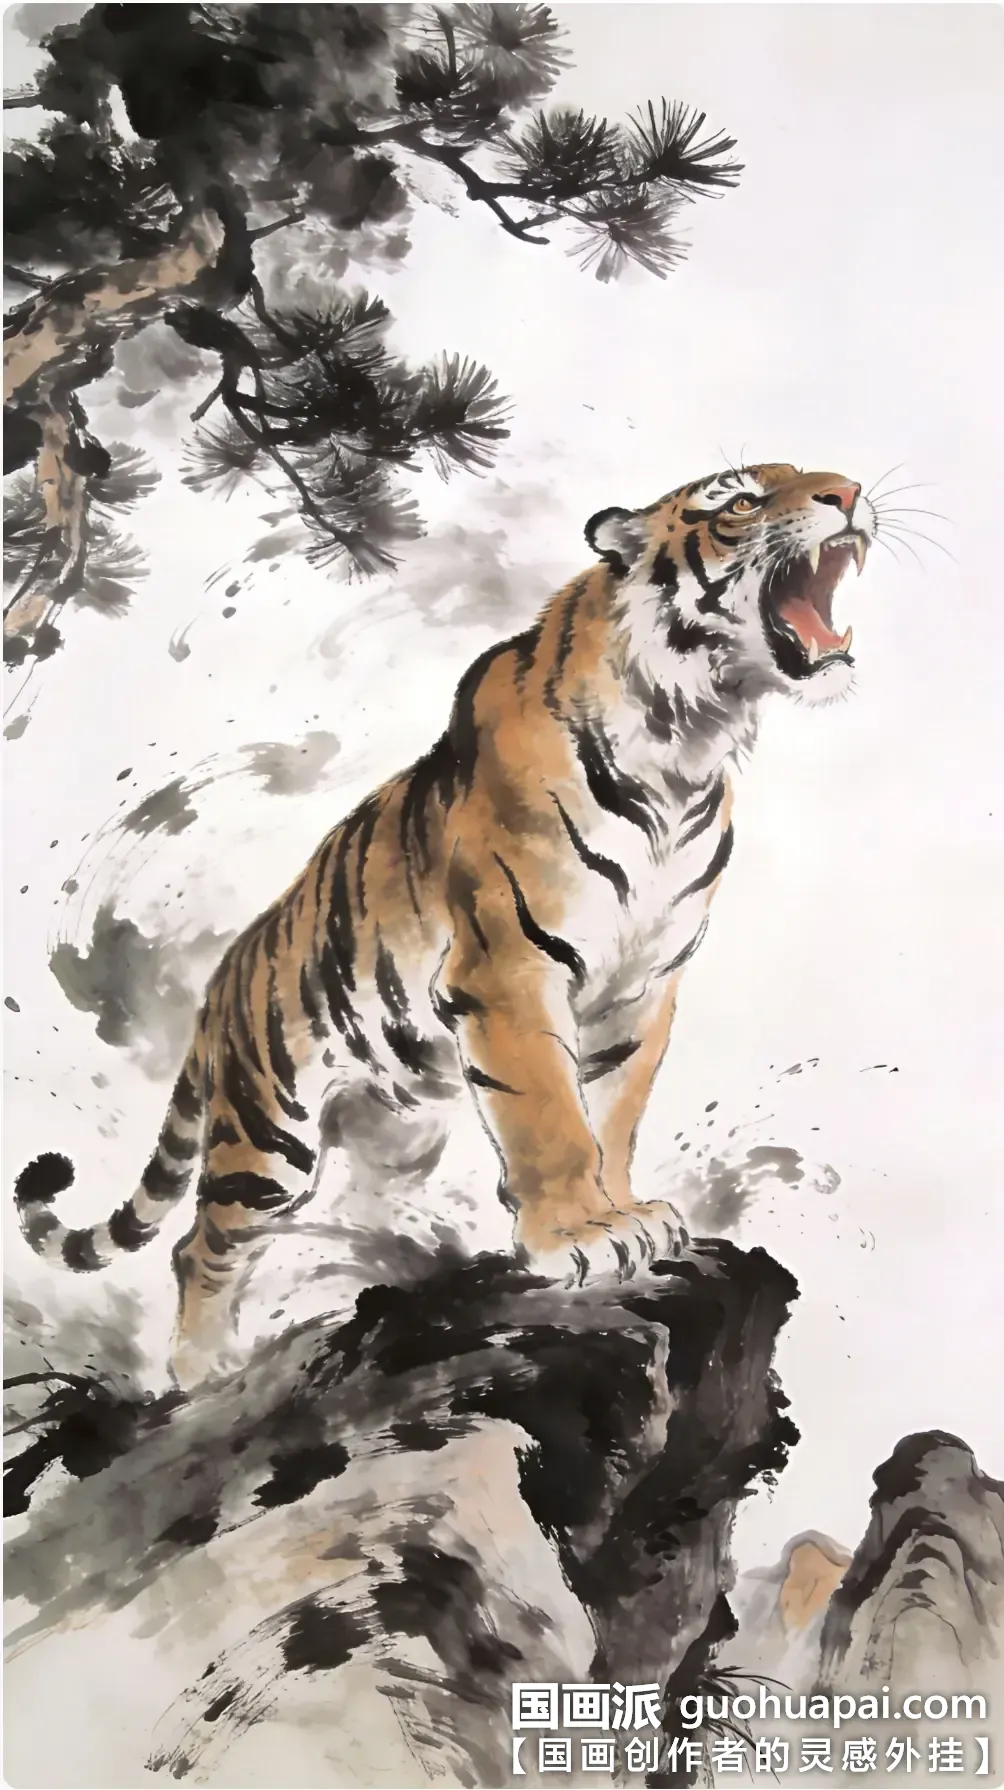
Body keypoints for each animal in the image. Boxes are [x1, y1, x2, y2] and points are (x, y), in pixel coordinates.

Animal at [15, 462, 874, 1390]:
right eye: (740, 501)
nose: (851, 493)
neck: (686, 743)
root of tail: (220, 981)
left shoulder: (639, 992)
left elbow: (611, 1116)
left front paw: (625, 1213)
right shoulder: (509, 971)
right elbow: (549, 1117)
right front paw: (580, 1235)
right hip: (270, 1127)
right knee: (201, 1242)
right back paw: (202, 1368)